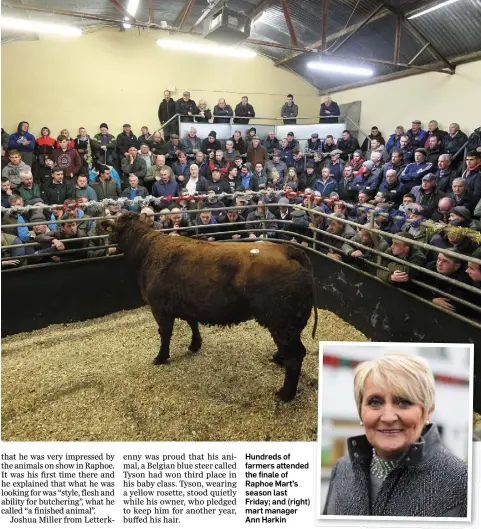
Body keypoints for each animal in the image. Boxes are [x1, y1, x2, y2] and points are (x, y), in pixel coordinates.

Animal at [114, 211, 316, 400]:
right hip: (289, 324)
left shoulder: (158, 308)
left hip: (283, 322)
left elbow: (165, 334)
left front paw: (161, 357)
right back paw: (278, 359)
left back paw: (285, 393)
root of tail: (287, 250)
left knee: (295, 355)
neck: (146, 249)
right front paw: (195, 345)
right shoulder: (187, 303)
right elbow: (193, 324)